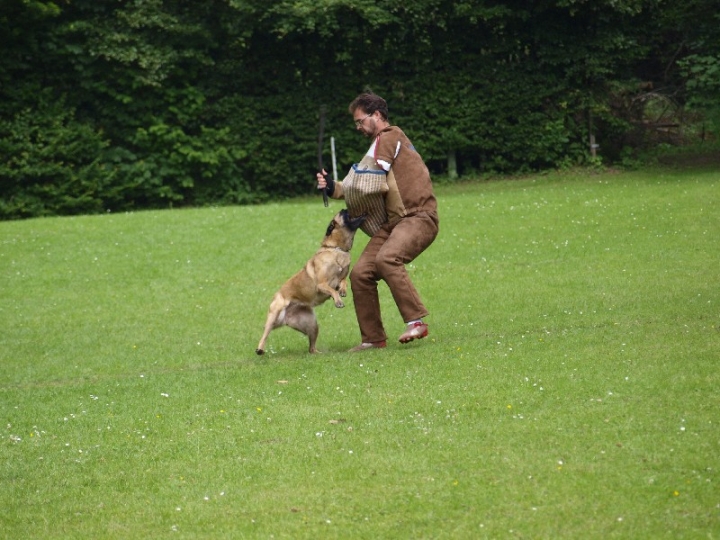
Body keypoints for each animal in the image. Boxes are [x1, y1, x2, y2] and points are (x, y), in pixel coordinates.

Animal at [255, 209, 366, 356]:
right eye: (342, 213)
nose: (345, 208)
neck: (335, 249)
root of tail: (285, 320)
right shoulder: (321, 284)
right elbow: (332, 290)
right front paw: (338, 301)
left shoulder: (339, 279)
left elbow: (343, 281)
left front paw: (343, 290)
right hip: (274, 314)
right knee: (265, 334)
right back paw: (260, 349)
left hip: (312, 324)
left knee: (311, 348)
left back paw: (319, 354)